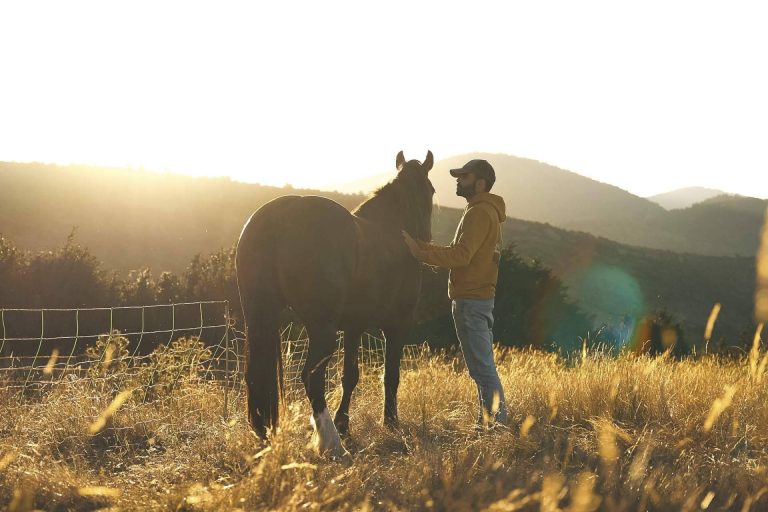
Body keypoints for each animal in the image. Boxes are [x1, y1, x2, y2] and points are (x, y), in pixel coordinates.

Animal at [236, 150, 434, 458]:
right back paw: (331, 444)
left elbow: (350, 376)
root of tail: (279, 216)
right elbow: (391, 375)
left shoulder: (354, 327)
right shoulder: (397, 326)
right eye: (432, 190)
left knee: (256, 377)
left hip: (258, 318)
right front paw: (390, 421)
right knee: (312, 378)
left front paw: (345, 424)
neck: (392, 231)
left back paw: (265, 437)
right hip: (321, 329)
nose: (426, 240)